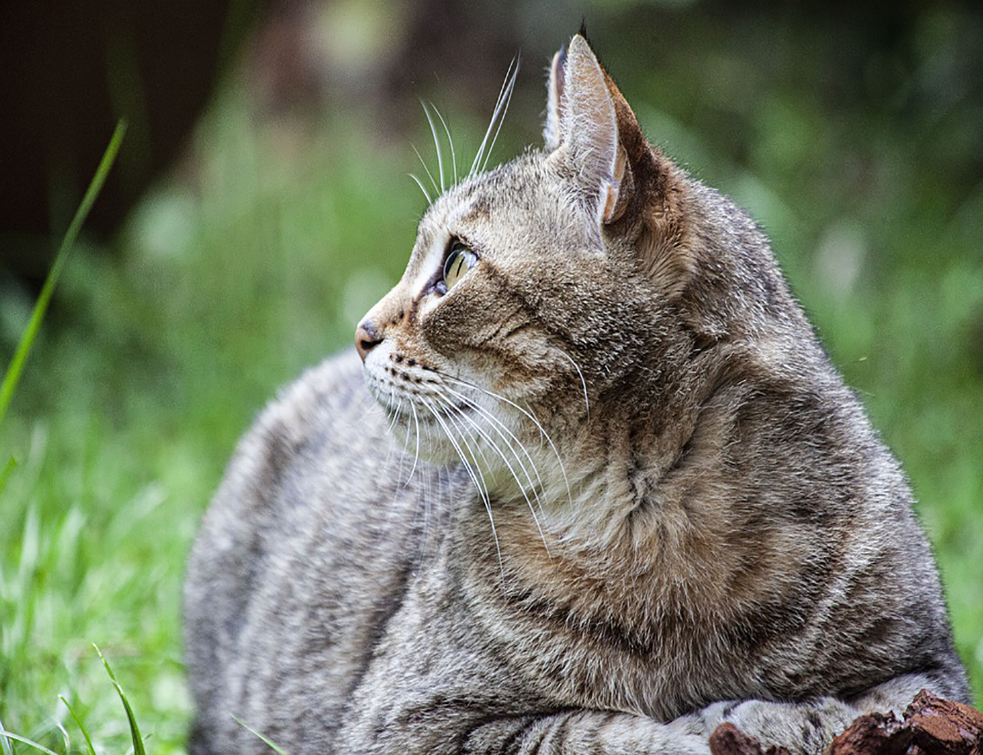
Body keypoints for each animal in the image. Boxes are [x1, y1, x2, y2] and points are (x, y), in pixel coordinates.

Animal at [183, 31, 968, 755]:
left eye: (457, 263)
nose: (362, 332)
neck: (656, 521)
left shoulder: (928, 671)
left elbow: (856, 705)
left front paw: (774, 716)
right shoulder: (411, 722)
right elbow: (601, 730)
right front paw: (713, 722)